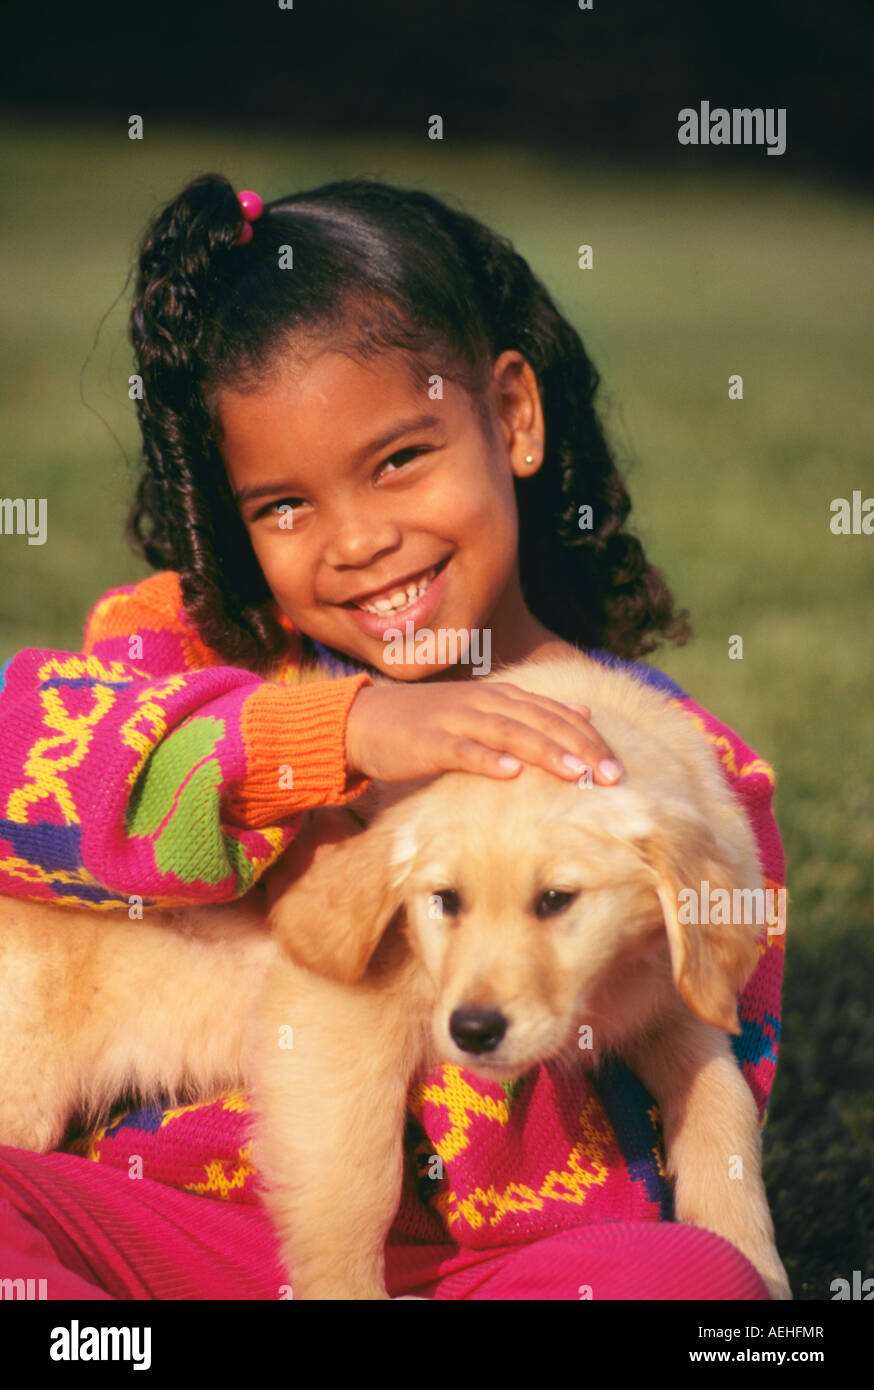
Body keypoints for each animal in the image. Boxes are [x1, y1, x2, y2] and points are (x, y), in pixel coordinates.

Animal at [250, 650, 789, 1301]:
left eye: (556, 899)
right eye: (446, 900)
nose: (474, 1031)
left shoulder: (671, 1003)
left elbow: (724, 1103)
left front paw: (752, 1254)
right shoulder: (336, 1012)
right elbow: (353, 1176)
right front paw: (346, 1287)